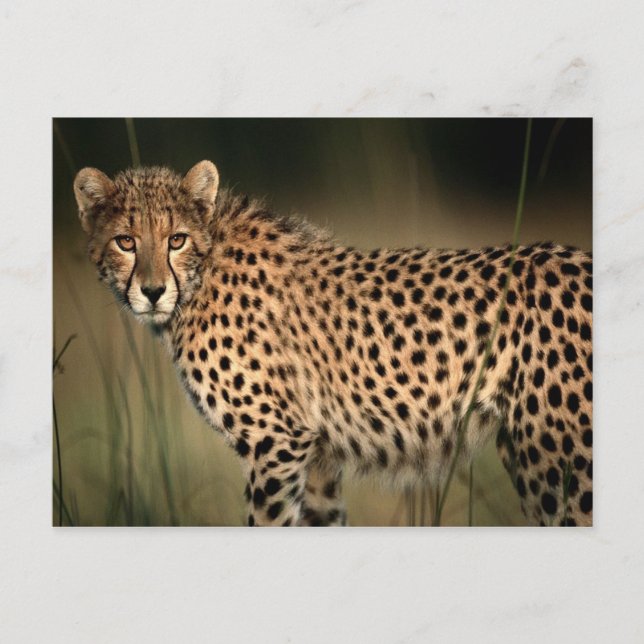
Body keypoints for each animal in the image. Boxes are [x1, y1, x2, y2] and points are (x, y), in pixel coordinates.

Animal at [73, 160, 593, 527]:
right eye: (125, 242)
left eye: (176, 239)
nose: (152, 290)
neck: (204, 271)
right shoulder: (316, 456)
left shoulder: (275, 443)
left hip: (559, 463)